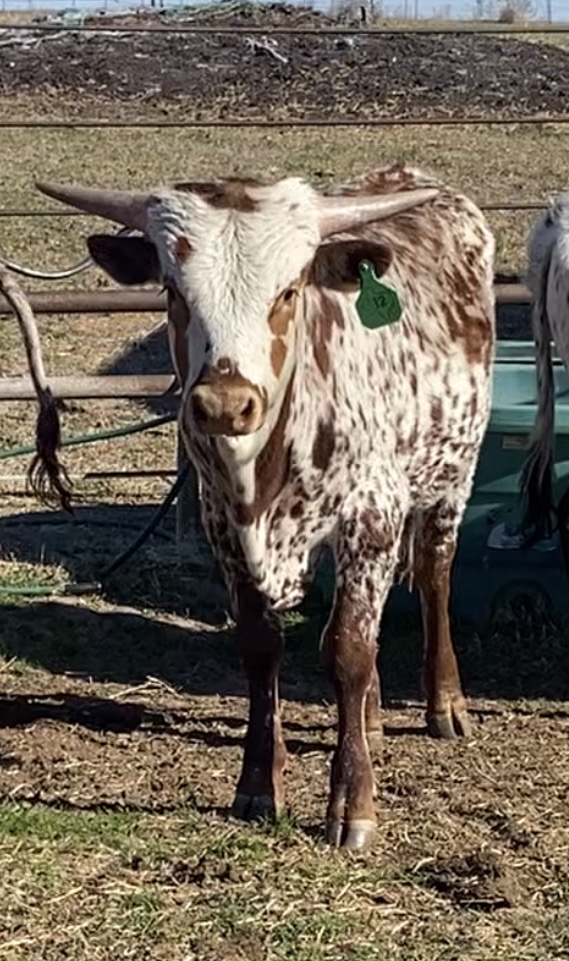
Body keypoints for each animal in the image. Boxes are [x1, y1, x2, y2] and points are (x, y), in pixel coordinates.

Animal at [35, 164, 496, 850]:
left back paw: (445, 704)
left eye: (288, 291)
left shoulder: (372, 515)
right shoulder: (223, 525)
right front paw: (257, 782)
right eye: (172, 290)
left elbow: (348, 650)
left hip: (452, 472)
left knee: (435, 575)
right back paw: (374, 716)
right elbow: (263, 646)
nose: (226, 404)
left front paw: (353, 803)